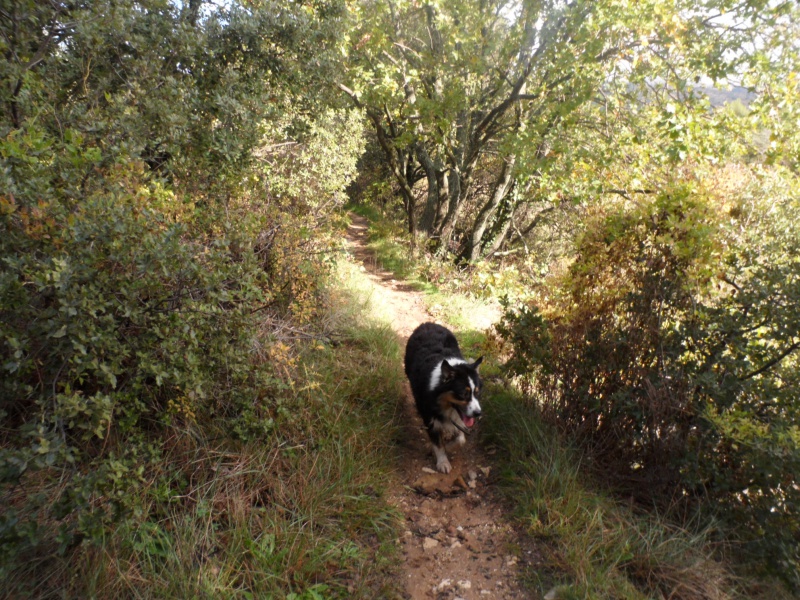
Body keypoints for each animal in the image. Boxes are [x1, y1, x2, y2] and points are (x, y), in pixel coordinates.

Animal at [404, 324, 484, 474]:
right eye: (463, 394)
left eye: (477, 392)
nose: (478, 413)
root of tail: (427, 323)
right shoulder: (430, 417)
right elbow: (438, 443)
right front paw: (443, 461)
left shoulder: (460, 419)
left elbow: (461, 440)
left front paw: (448, 447)